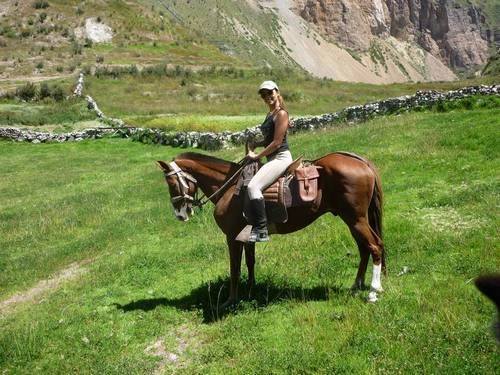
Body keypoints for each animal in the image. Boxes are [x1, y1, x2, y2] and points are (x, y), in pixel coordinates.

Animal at [158, 152, 384, 306]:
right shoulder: (247, 236)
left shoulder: (232, 237)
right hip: (353, 220)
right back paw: (357, 285)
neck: (230, 189)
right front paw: (250, 289)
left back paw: (373, 292)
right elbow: (250, 262)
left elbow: (234, 268)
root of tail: (361, 161)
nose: (180, 215)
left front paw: (231, 300)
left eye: (172, 183)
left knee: (375, 247)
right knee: (365, 248)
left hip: (355, 219)